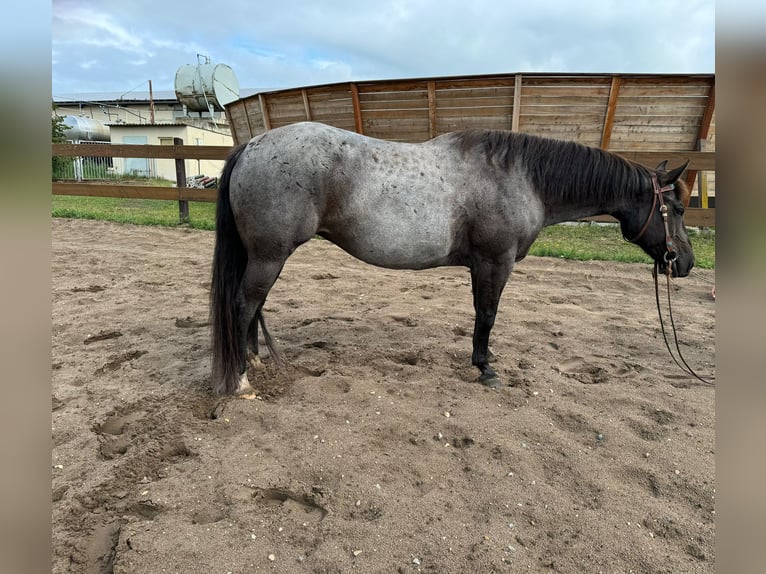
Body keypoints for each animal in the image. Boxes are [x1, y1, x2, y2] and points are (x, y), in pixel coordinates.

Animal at [210, 122, 696, 396]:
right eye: (678, 208)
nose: (685, 262)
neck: (520, 177)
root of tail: (251, 146)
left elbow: (484, 316)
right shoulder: (494, 263)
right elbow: (486, 315)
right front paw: (485, 368)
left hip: (265, 256)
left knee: (253, 306)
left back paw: (253, 361)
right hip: (270, 255)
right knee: (243, 305)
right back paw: (241, 380)